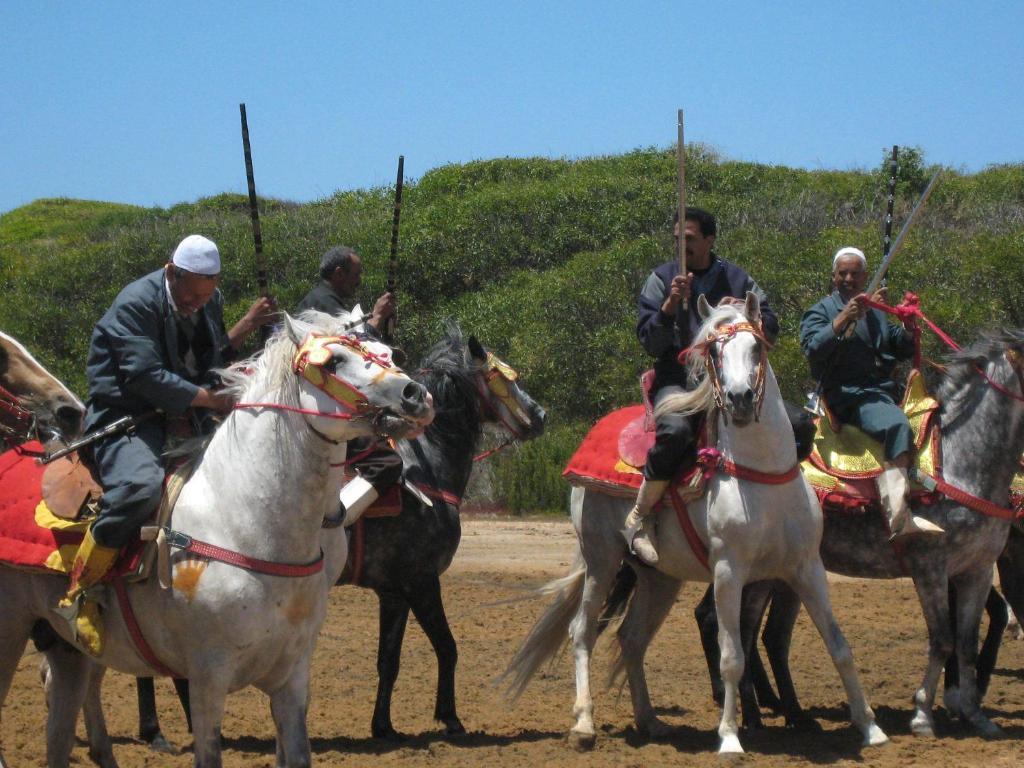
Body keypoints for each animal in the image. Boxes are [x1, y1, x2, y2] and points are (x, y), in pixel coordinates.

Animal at [0, 313, 432, 768]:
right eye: (332, 361)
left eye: (389, 354)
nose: (415, 395)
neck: (246, 526)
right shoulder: (208, 677)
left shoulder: (293, 676)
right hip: (12, 630)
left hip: (72, 650)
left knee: (59, 728)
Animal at [135, 325, 544, 745]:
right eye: (504, 376)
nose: (539, 415)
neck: (427, 473)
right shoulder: (422, 583)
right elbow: (447, 647)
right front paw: (450, 717)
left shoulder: (395, 592)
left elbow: (389, 660)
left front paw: (383, 726)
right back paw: (159, 730)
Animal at [503, 296, 888, 757]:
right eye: (715, 353)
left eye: (756, 349)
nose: (740, 399)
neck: (762, 476)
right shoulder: (729, 573)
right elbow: (732, 656)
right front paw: (730, 737)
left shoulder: (805, 569)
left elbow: (840, 646)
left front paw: (870, 727)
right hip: (601, 560)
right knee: (582, 631)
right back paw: (583, 724)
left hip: (659, 579)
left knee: (631, 638)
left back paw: (650, 721)